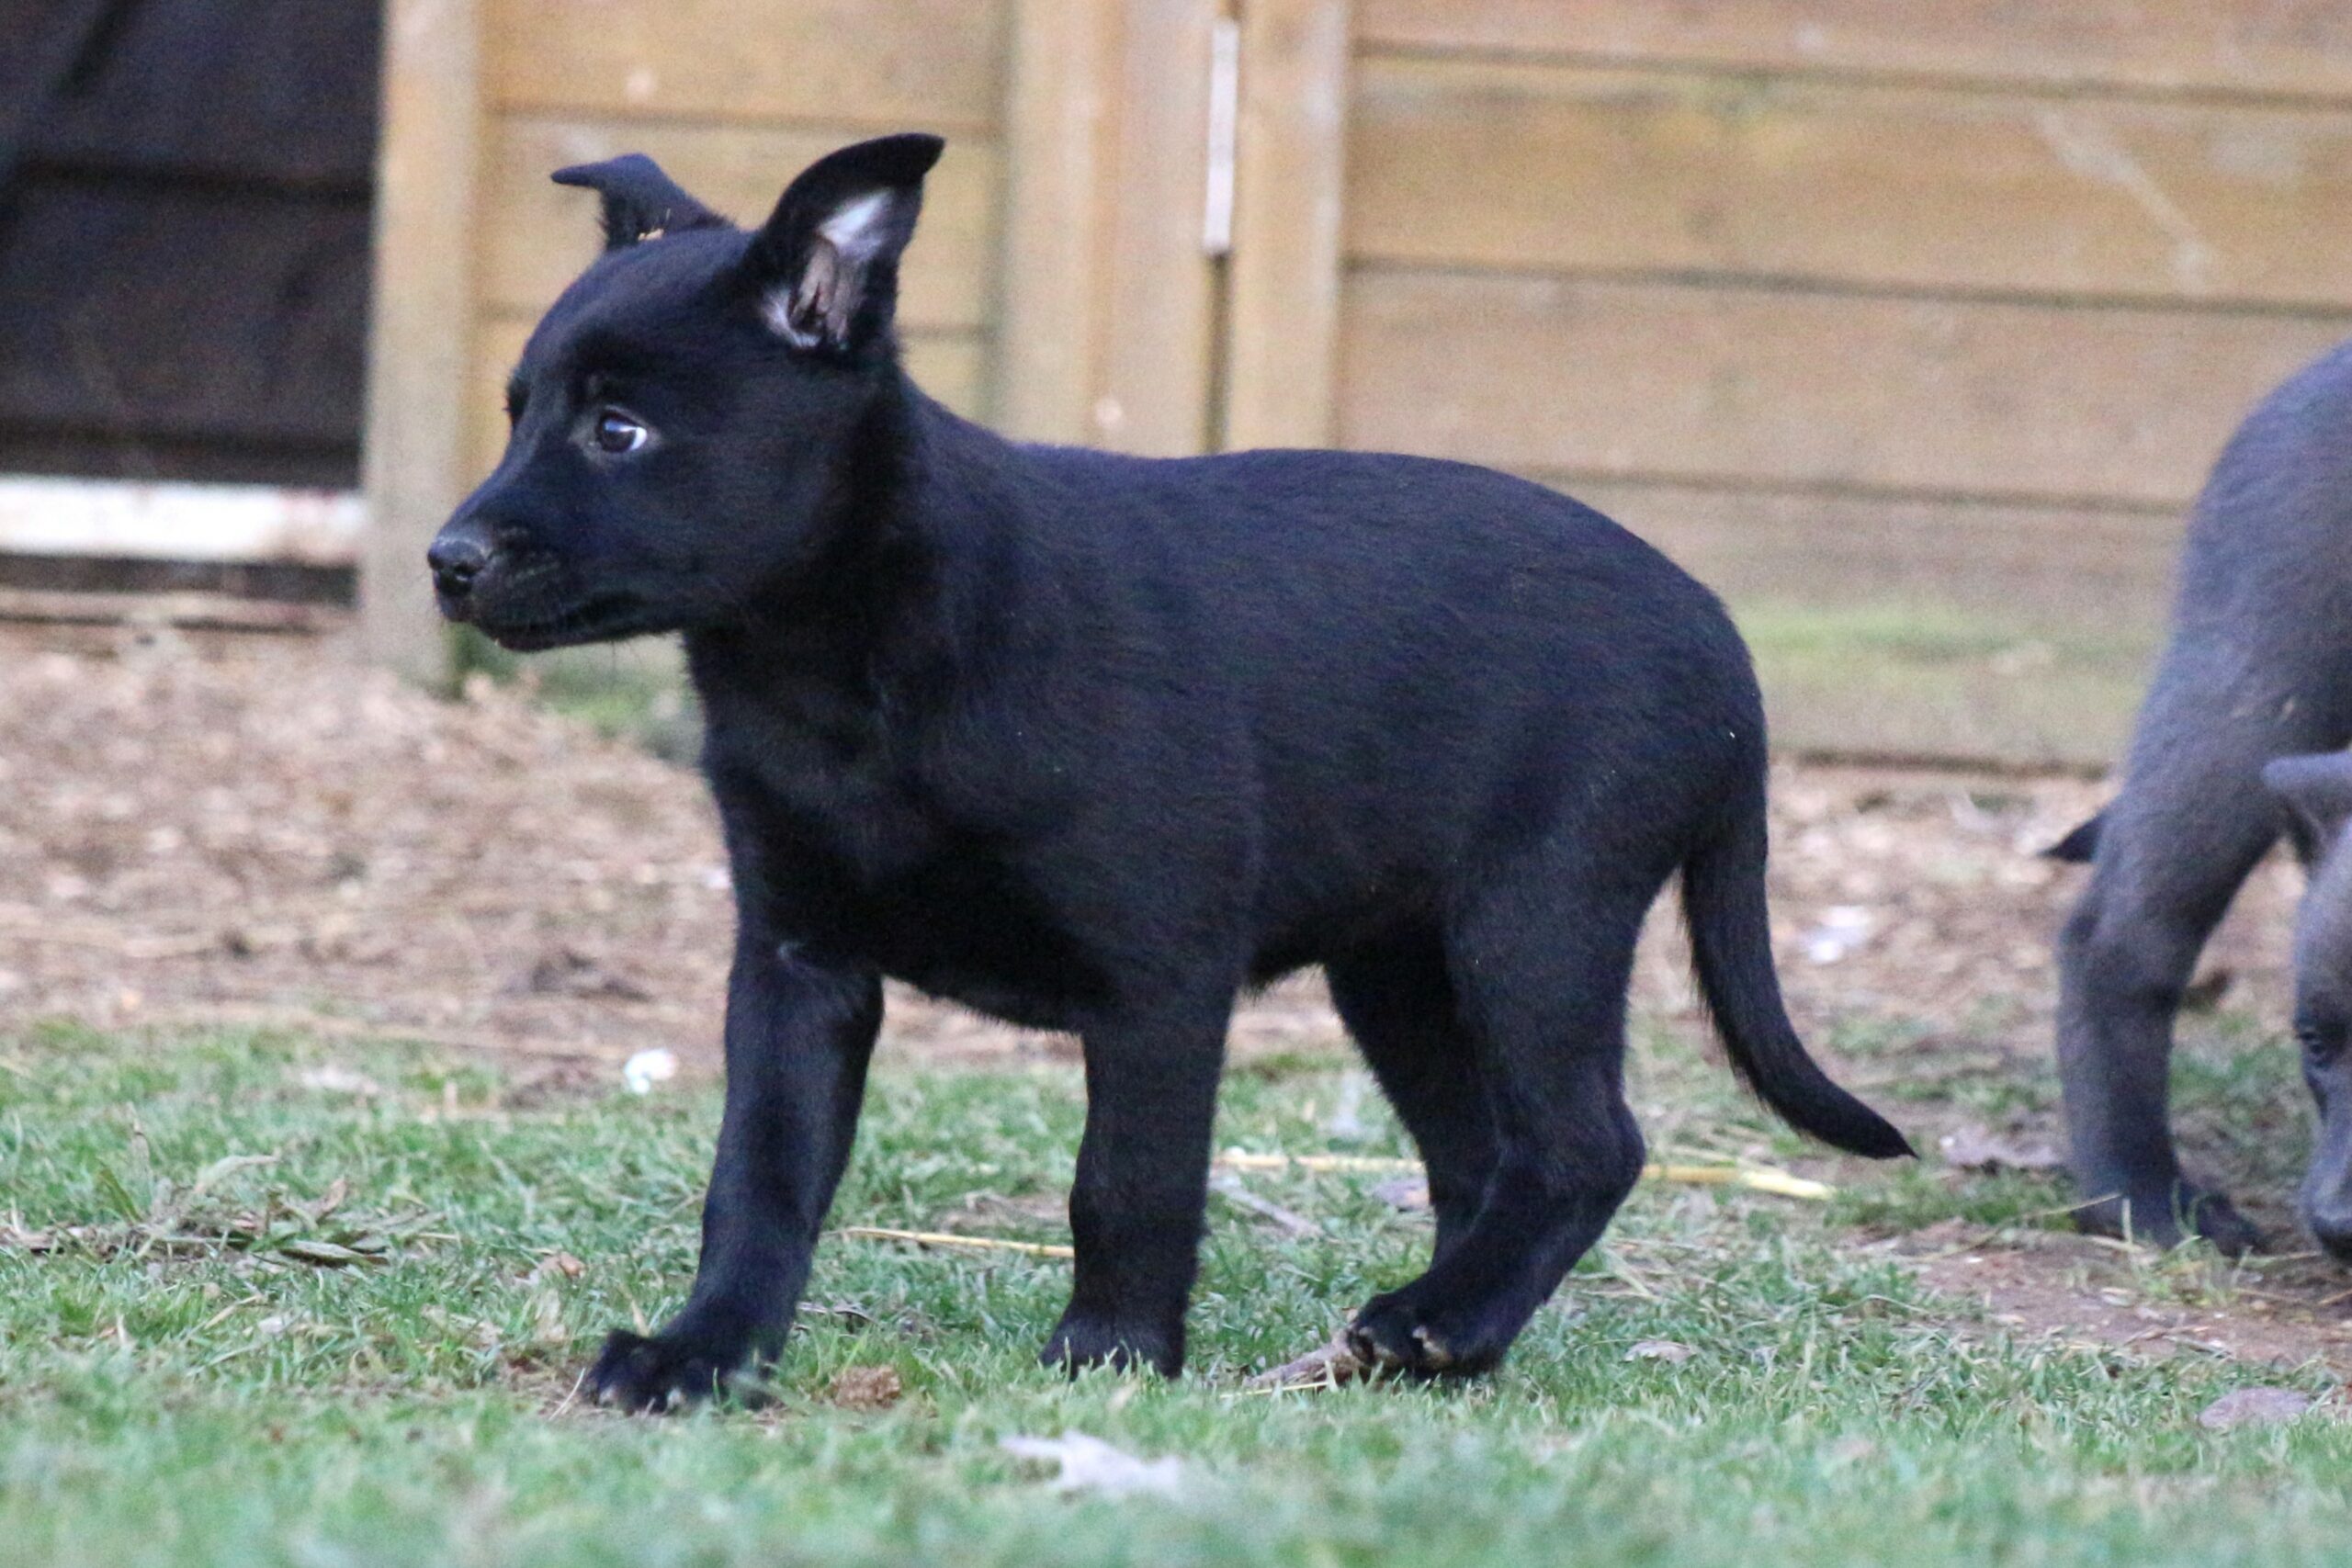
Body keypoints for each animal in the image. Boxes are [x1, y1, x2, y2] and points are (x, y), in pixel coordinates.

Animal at [427, 133, 1910, 1410]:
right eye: (517, 416)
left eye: (618, 431)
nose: (448, 559)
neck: (843, 660)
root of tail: (1723, 647)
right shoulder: (797, 960)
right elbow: (760, 1177)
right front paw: (706, 1353)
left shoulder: (1156, 978)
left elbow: (1125, 1180)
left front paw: (1114, 1352)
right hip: (1400, 965)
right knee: (1486, 1156)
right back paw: (1446, 1340)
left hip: (1537, 918)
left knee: (1584, 1145)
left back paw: (1434, 1321)